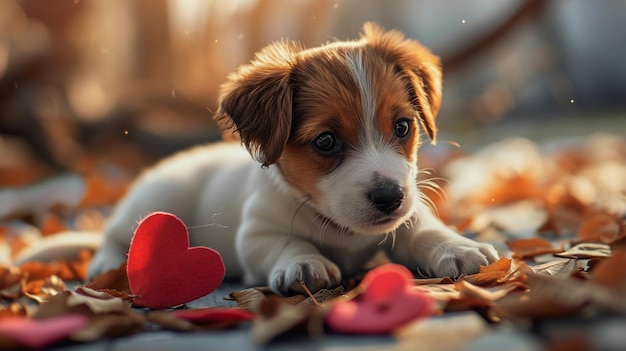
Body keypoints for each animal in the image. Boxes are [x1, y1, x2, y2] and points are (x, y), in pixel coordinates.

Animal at [89, 23, 498, 296]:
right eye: (326, 141)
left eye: (402, 126)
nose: (389, 197)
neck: (343, 232)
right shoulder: (256, 234)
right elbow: (286, 244)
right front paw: (304, 263)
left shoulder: (409, 215)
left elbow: (422, 228)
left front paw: (457, 246)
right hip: (154, 202)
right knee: (114, 236)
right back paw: (107, 266)